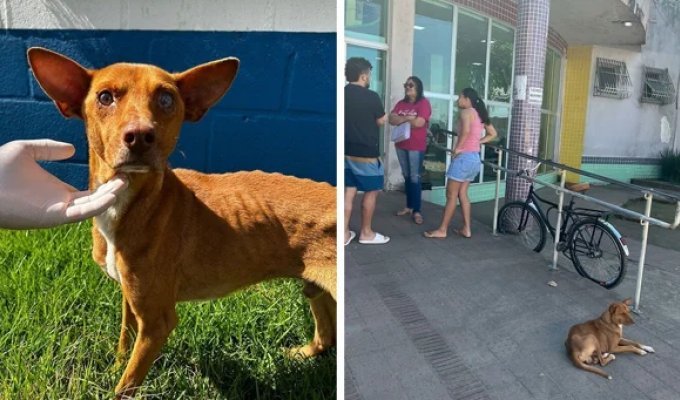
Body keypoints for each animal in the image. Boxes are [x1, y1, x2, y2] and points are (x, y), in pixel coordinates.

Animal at [27, 46, 336, 396]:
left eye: (166, 98)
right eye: (105, 97)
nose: (140, 136)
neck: (135, 203)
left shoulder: (157, 321)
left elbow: (126, 384)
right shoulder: (130, 299)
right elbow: (124, 342)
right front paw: (115, 365)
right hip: (314, 288)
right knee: (327, 334)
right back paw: (304, 352)